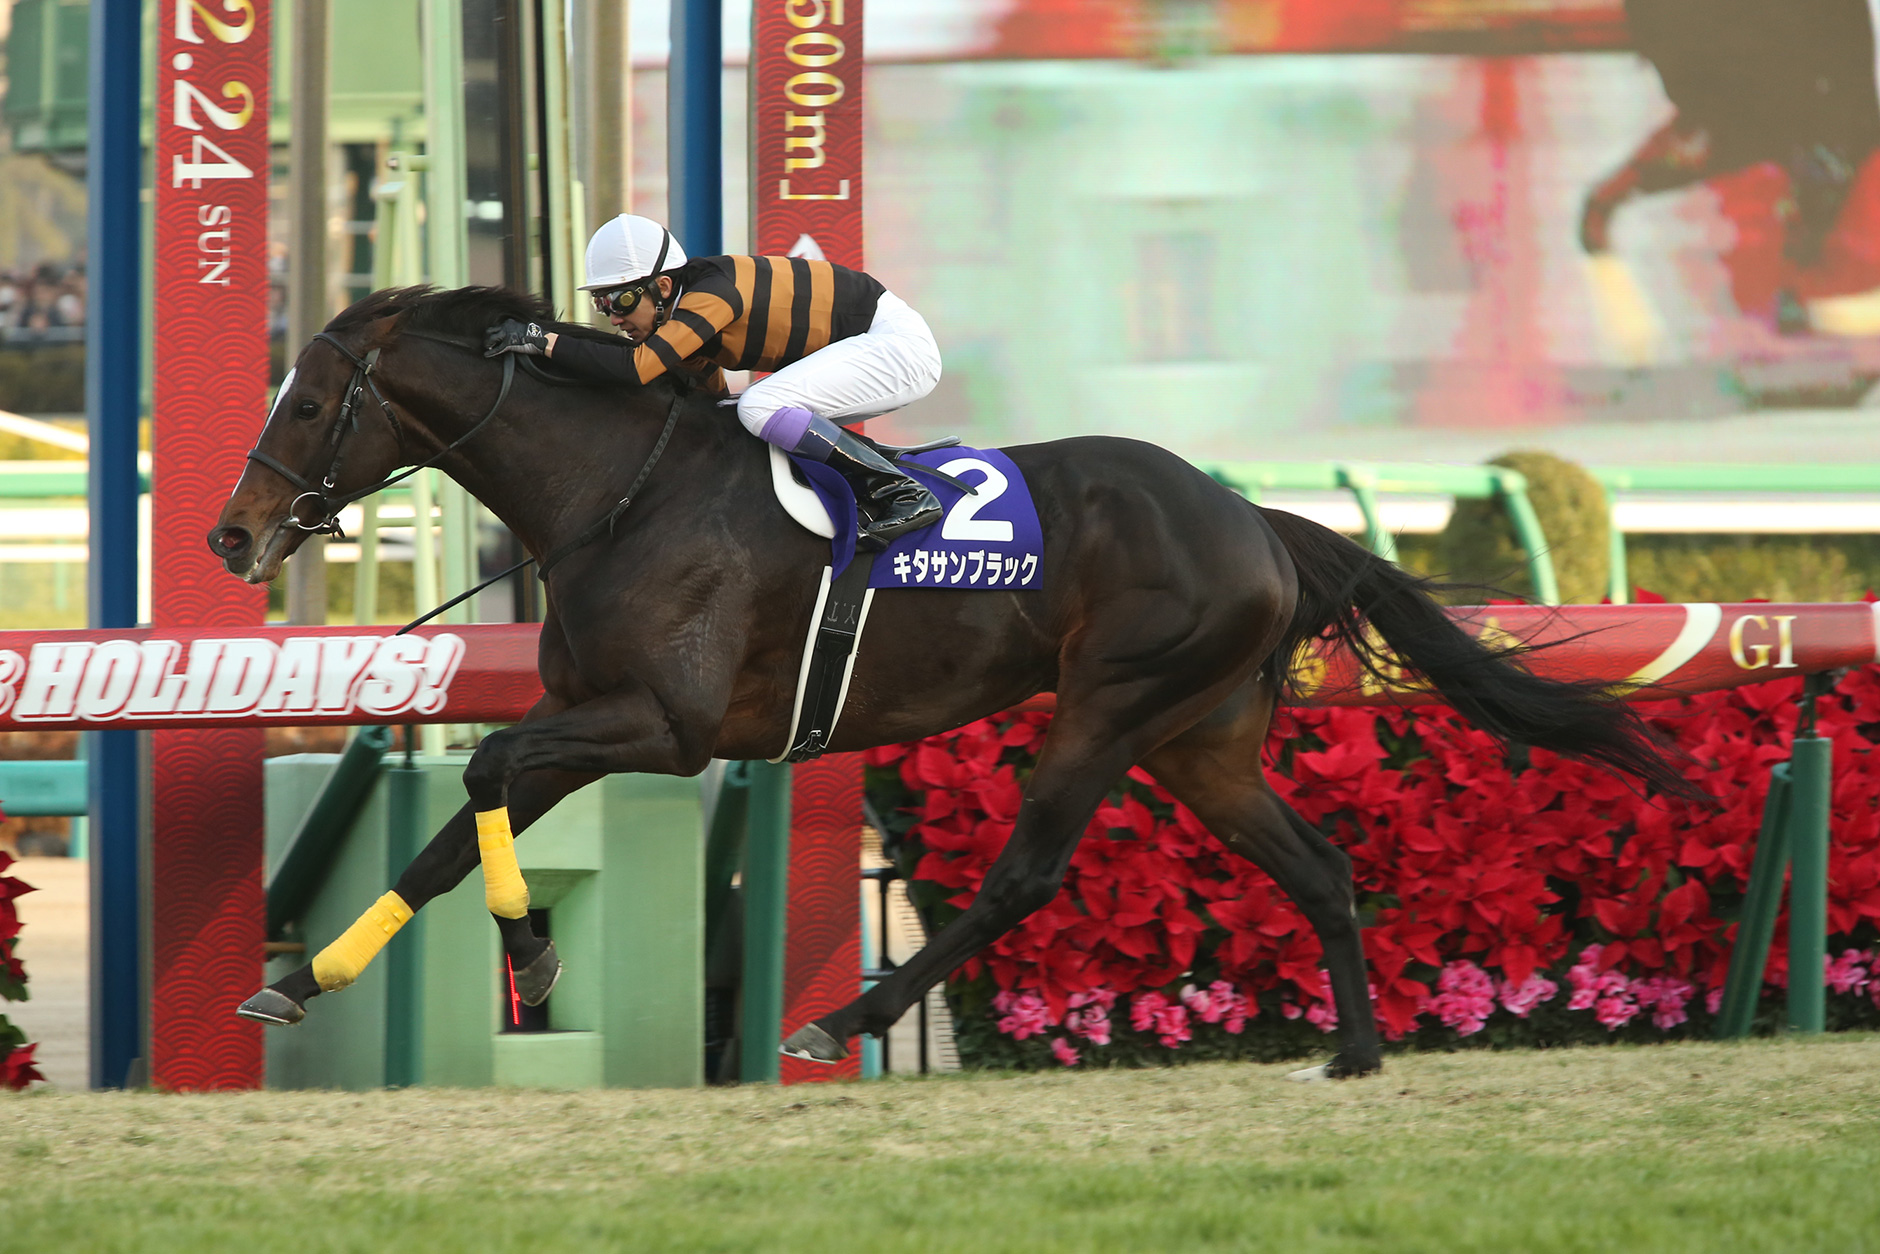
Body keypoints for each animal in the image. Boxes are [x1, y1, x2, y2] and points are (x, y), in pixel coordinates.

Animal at [209, 285, 1690, 1079]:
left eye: (306, 402)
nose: (231, 534)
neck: (613, 494)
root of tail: (1255, 519)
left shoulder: (664, 727)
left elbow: (483, 774)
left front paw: (532, 957)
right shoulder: (593, 721)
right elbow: (459, 826)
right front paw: (305, 982)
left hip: (1110, 704)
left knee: (1023, 874)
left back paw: (843, 1019)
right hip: (1199, 741)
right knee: (1319, 866)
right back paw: (1360, 1048)